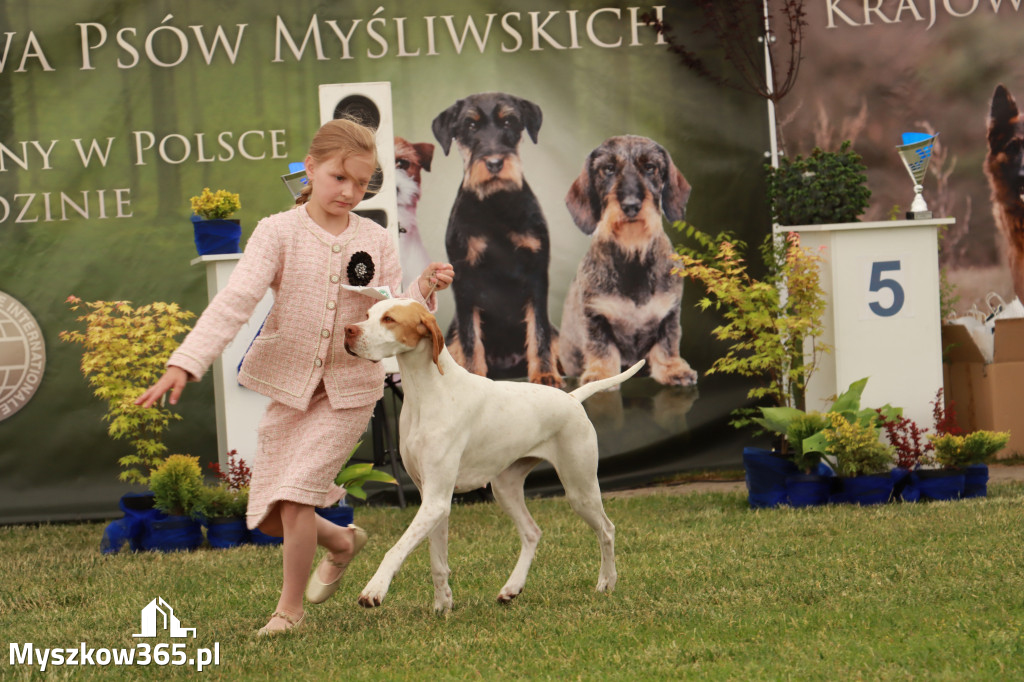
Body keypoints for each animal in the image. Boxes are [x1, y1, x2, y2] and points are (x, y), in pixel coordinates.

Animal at [348, 296, 643, 610]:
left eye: (389, 319)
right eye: (367, 314)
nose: (348, 330)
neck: (426, 392)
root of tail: (573, 398)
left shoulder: (436, 501)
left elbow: (395, 550)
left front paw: (375, 589)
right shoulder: (432, 499)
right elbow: (437, 561)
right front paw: (443, 605)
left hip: (580, 489)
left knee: (607, 530)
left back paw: (607, 581)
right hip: (505, 488)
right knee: (532, 532)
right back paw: (512, 587)